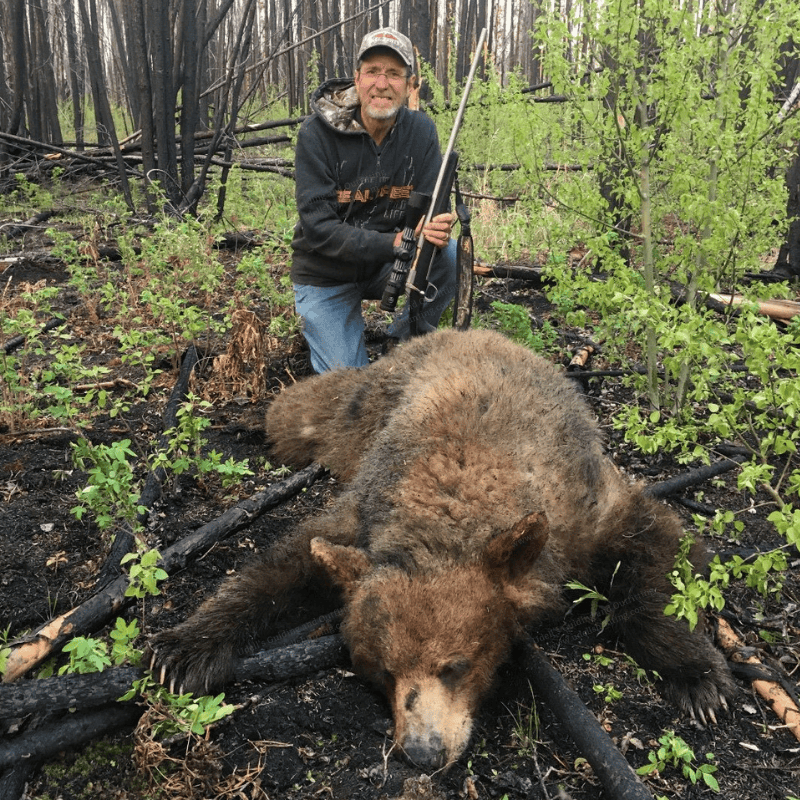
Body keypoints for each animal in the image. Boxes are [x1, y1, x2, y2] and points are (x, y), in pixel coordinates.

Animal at [146, 328, 734, 770]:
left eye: (456, 665)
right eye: (381, 671)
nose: (424, 753)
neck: (454, 489)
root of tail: (455, 330)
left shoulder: (583, 506)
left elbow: (658, 542)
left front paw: (698, 677)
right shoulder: (364, 515)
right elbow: (283, 565)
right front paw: (186, 645)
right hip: (360, 407)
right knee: (297, 413)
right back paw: (247, 417)